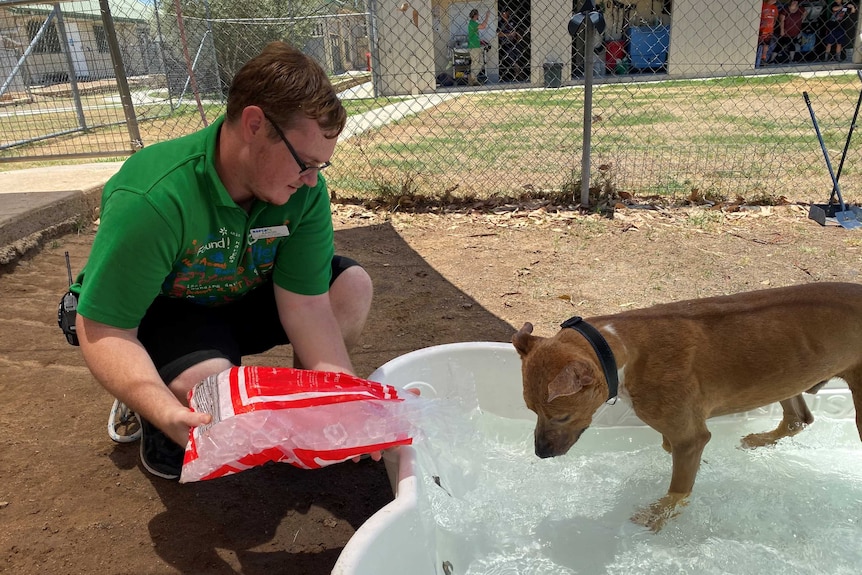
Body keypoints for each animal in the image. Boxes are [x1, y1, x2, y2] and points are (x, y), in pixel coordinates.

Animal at [512, 282, 862, 532]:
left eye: (562, 416)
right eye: (531, 410)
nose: (540, 453)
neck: (617, 350)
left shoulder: (690, 439)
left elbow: (678, 491)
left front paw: (659, 515)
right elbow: (669, 448)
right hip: (785, 379)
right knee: (798, 418)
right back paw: (761, 439)